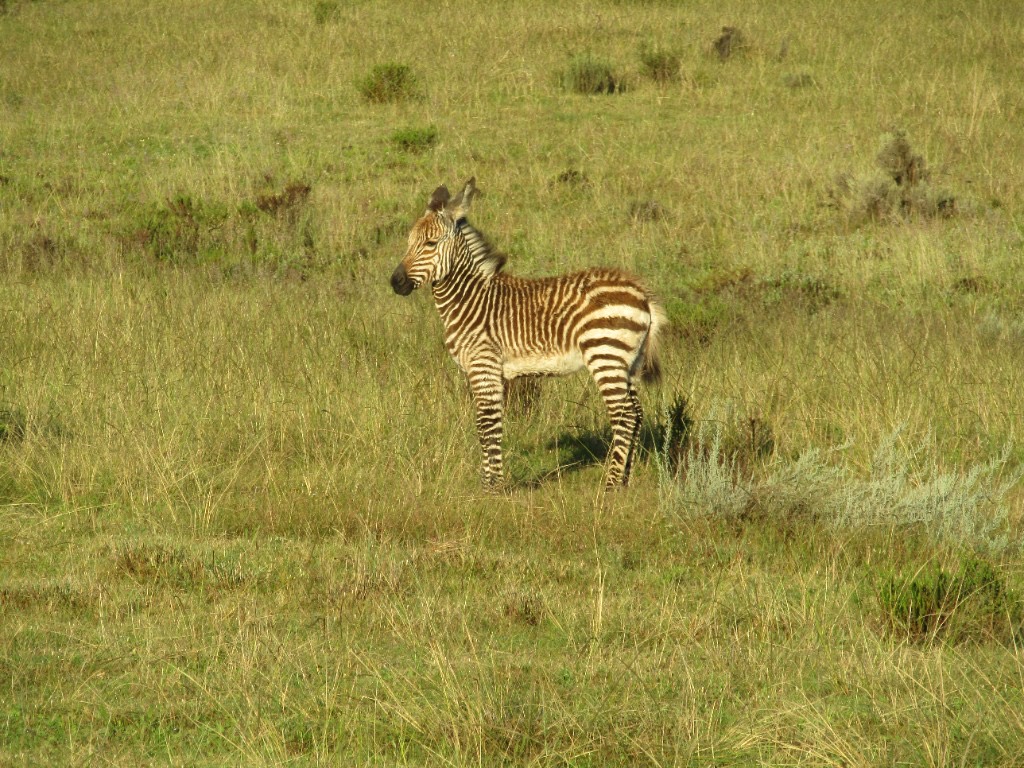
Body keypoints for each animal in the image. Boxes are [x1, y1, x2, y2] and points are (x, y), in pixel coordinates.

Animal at [390, 178, 665, 490]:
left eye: (430, 244)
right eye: (409, 243)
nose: (395, 282)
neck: (471, 298)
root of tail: (642, 293)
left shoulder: (483, 365)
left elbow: (487, 424)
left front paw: (493, 488)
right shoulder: (490, 372)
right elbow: (488, 424)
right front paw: (489, 483)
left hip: (605, 352)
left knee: (624, 415)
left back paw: (609, 485)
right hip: (628, 361)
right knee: (637, 414)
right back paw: (624, 482)